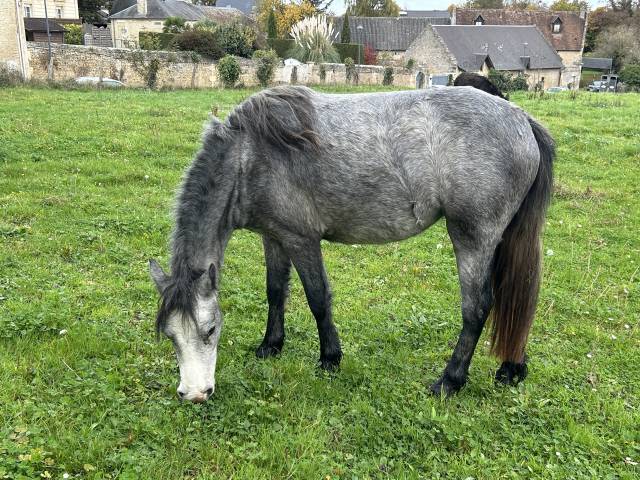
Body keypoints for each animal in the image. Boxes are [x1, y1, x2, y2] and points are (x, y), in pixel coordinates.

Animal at [149, 85, 554, 403]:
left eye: (210, 330)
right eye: (170, 335)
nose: (195, 394)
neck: (249, 156)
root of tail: (522, 119)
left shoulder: (301, 239)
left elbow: (317, 298)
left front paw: (329, 358)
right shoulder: (274, 236)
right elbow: (275, 291)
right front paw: (271, 345)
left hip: (472, 238)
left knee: (477, 307)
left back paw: (450, 381)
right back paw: (512, 368)